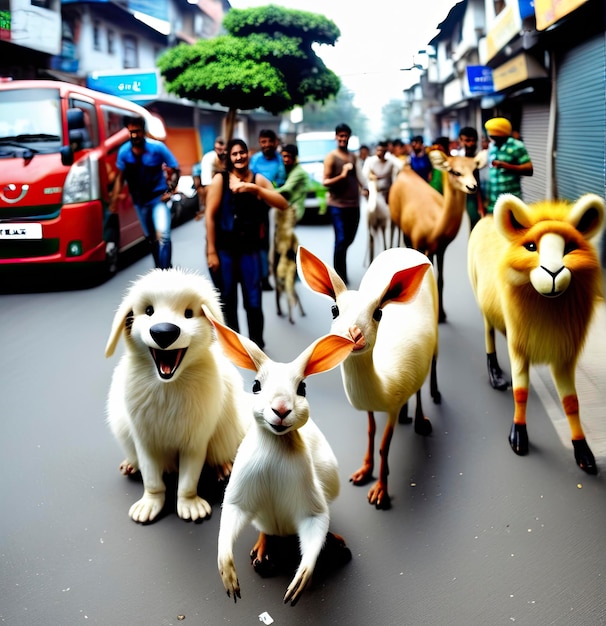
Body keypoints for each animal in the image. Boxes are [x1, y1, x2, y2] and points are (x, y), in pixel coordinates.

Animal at [104, 266, 249, 520]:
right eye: (148, 311)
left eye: (189, 313)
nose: (164, 332)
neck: (168, 388)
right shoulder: (144, 437)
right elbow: (152, 479)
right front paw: (149, 503)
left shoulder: (196, 439)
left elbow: (188, 480)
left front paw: (190, 505)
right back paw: (131, 465)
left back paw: (223, 466)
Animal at [204, 306, 356, 604]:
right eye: (255, 385)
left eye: (302, 389)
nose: (281, 409)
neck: (275, 447)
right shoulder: (239, 495)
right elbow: (229, 519)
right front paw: (229, 577)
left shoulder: (310, 504)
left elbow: (316, 523)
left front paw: (299, 583)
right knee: (266, 530)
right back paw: (262, 551)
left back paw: (335, 541)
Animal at [298, 244, 442, 508]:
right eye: (334, 309)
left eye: (378, 313)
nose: (354, 334)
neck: (382, 385)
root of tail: (405, 249)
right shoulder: (369, 408)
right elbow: (370, 432)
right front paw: (363, 472)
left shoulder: (392, 407)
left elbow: (384, 446)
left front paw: (380, 493)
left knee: (429, 371)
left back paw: (422, 418)